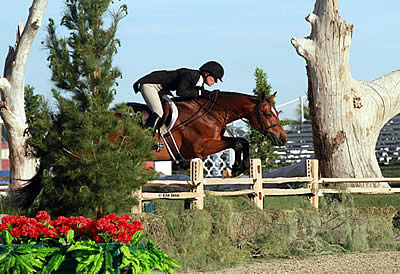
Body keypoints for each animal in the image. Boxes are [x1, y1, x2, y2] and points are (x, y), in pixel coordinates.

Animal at [128, 89, 288, 177]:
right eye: (267, 114)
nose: (283, 139)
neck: (211, 113)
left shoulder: (217, 139)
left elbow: (243, 141)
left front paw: (238, 168)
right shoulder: (201, 147)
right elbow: (237, 143)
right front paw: (233, 170)